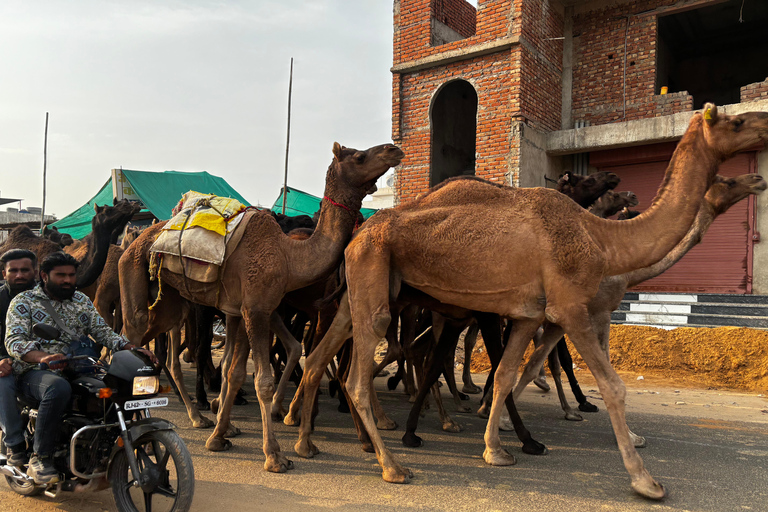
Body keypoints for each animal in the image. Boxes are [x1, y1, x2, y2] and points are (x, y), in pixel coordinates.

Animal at [119, 141, 402, 472]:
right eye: (359, 156)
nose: (394, 149)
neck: (290, 256)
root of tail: (135, 238)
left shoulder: (242, 310)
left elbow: (234, 372)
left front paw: (219, 436)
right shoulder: (257, 310)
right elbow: (263, 381)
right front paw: (274, 455)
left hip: (169, 305)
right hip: (134, 279)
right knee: (129, 337)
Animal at [340, 102, 768, 498]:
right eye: (736, 122)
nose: (758, 177)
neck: (603, 239)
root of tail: (359, 233)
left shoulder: (530, 315)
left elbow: (507, 374)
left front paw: (497, 448)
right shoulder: (572, 308)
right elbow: (612, 385)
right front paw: (645, 480)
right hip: (375, 274)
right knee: (361, 375)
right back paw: (393, 464)